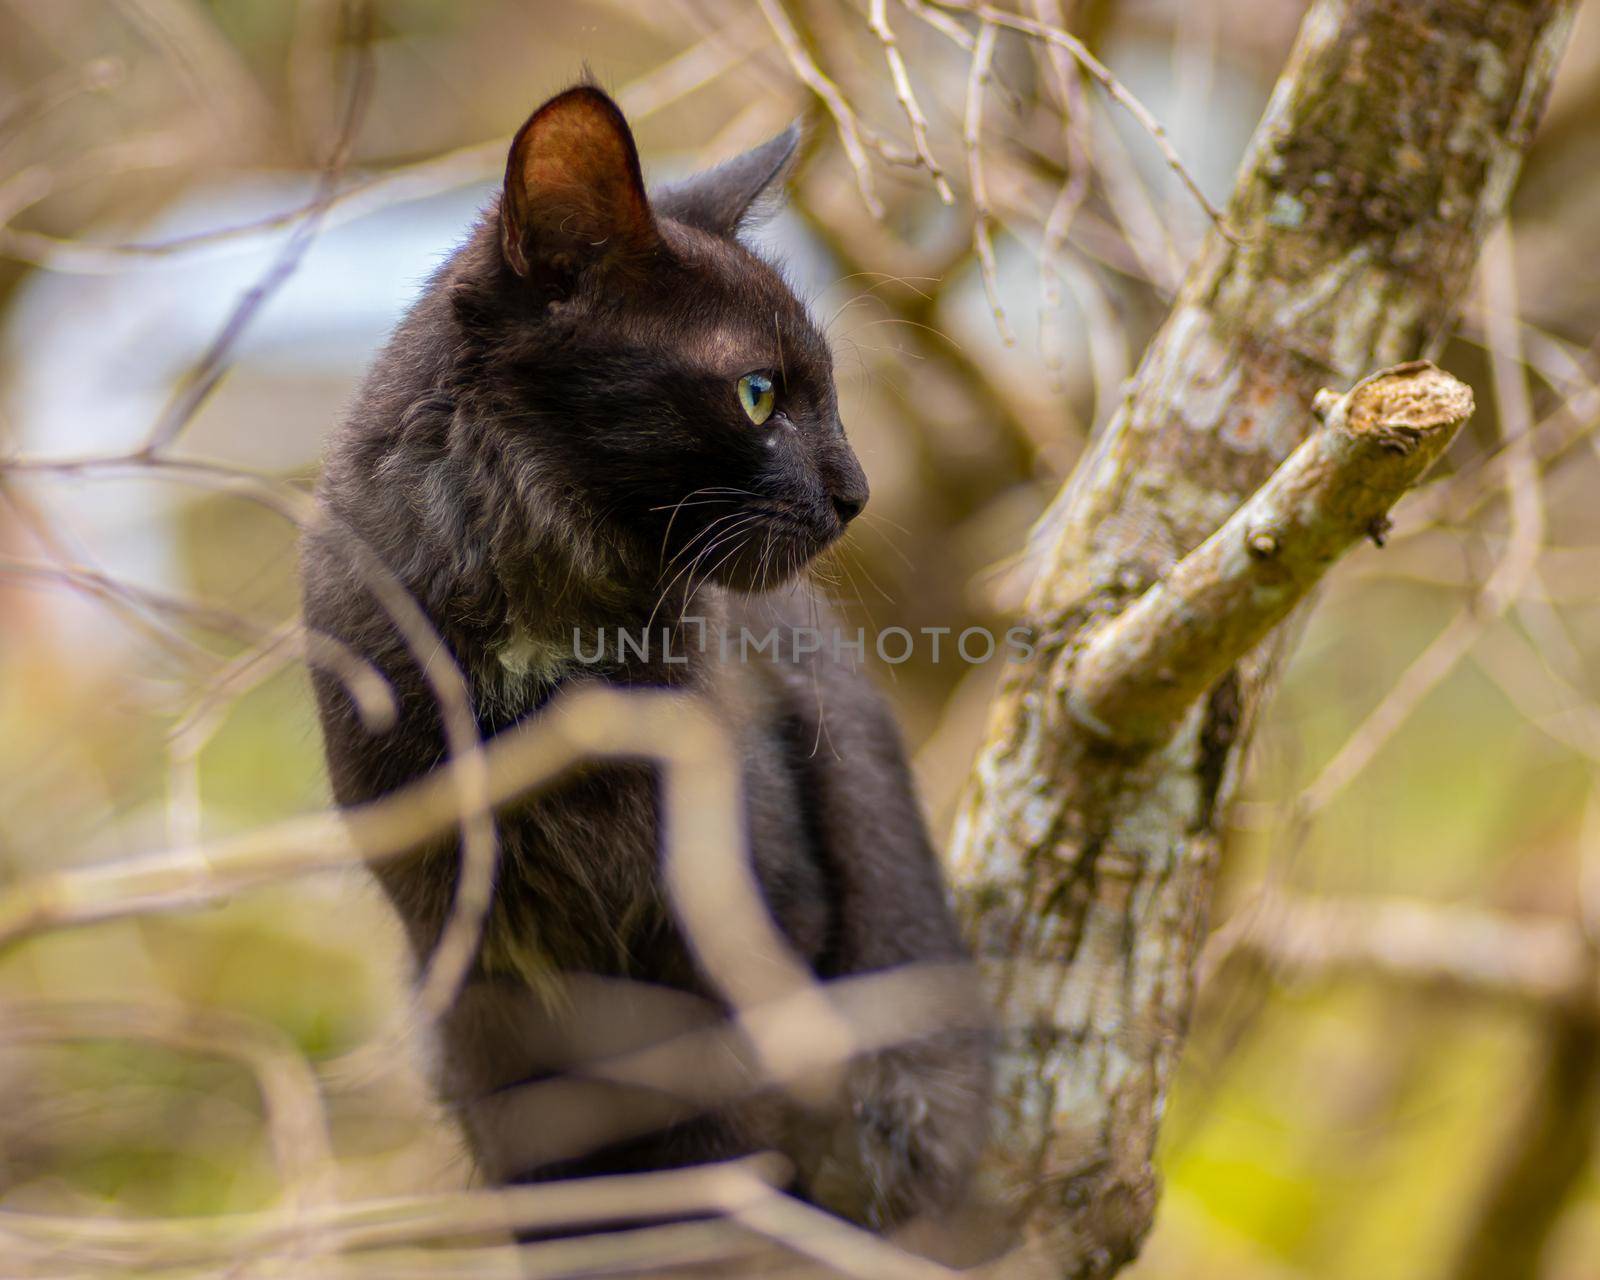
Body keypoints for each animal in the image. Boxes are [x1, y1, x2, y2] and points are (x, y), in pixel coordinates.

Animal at [300, 84, 985, 1222]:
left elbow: (722, 1162)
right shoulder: (484, 990)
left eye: (830, 392)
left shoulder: (743, 938)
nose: (857, 494)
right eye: (758, 394)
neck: (545, 656)